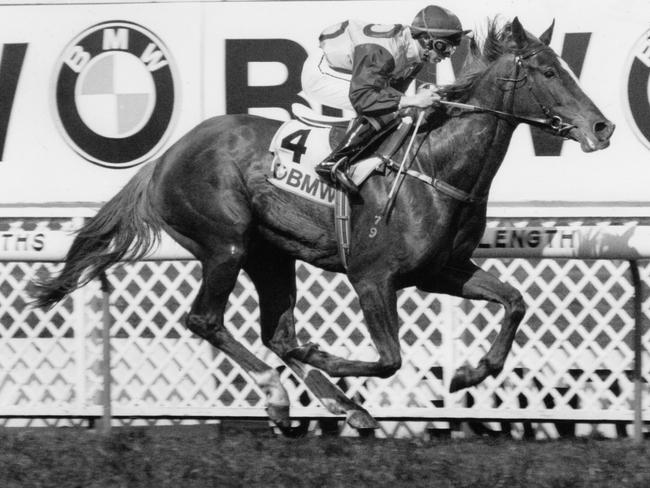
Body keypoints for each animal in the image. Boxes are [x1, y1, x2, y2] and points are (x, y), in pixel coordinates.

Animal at [31, 19, 612, 436]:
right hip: (226, 243)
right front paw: (327, 358)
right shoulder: (373, 277)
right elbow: (390, 359)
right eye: (548, 72)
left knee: (277, 333)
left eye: (565, 66)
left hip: (271, 254)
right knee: (207, 320)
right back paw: (279, 396)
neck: (437, 165)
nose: (602, 126)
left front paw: (473, 372)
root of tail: (164, 158)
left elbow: (514, 302)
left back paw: (340, 406)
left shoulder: (442, 271)